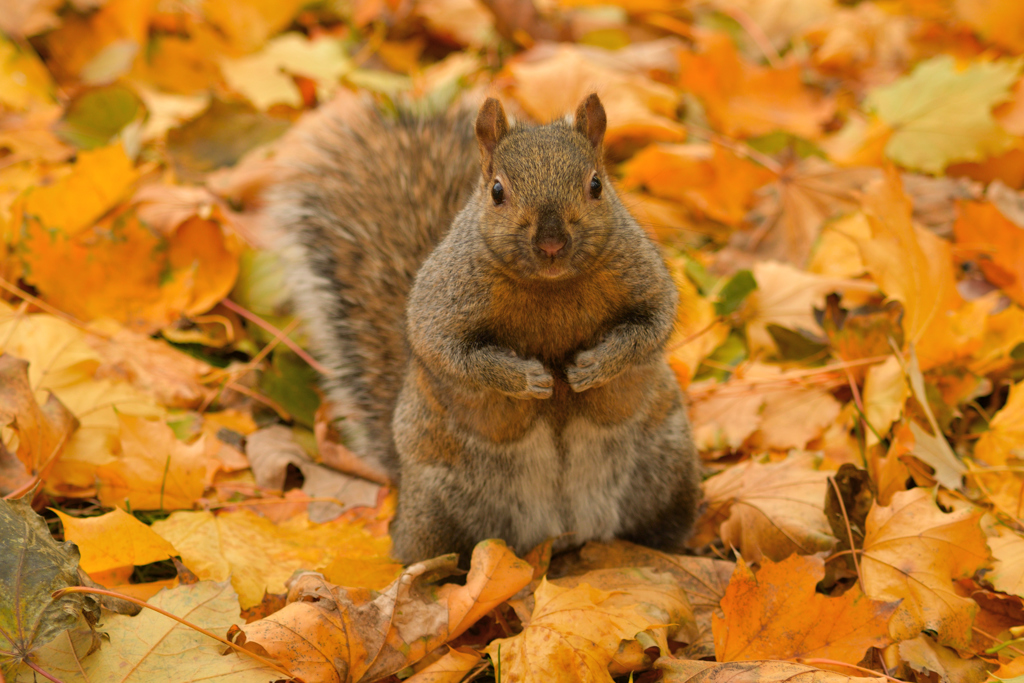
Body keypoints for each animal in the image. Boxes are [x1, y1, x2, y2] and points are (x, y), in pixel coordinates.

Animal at [268, 92, 700, 565]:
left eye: (596, 185)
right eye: (497, 191)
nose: (551, 243)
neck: (551, 286)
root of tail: (560, 529)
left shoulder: (646, 279)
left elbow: (653, 326)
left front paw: (594, 366)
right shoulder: (441, 303)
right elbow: (453, 353)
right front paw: (527, 378)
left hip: (666, 470)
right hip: (438, 505)